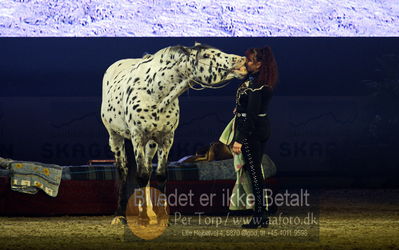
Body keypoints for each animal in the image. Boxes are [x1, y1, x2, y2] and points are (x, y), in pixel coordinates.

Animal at [101, 42, 248, 225]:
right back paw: (120, 215)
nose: (241, 59)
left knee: (147, 169)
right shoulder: (137, 138)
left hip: (151, 144)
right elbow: (140, 175)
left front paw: (161, 215)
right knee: (123, 171)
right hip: (116, 137)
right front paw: (142, 218)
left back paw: (149, 212)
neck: (154, 92)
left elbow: (160, 175)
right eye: (206, 55)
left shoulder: (166, 139)